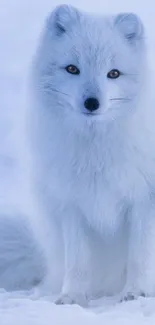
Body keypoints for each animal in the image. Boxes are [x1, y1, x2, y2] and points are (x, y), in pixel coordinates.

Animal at [29, 4, 155, 304]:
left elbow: (140, 256)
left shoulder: (145, 199)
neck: (96, 150)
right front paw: (72, 297)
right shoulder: (72, 203)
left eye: (114, 74)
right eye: (72, 69)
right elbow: (78, 261)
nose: (91, 102)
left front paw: (136, 292)